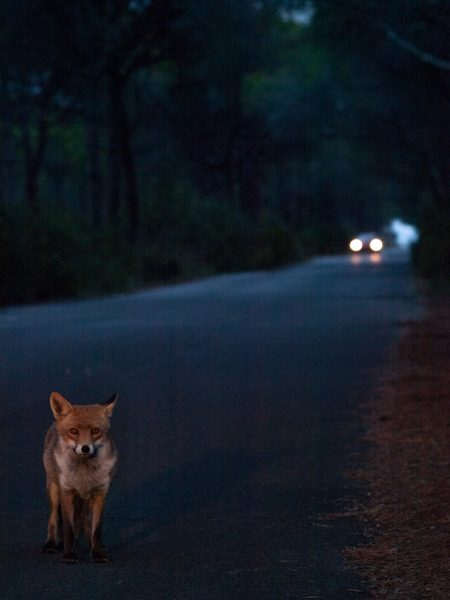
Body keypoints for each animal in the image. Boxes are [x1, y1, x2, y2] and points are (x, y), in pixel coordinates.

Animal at [41, 392, 118, 564]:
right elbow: (68, 529)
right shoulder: (67, 493)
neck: (84, 474)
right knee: (52, 519)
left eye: (95, 430)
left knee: (85, 521)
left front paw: (97, 553)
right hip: (54, 489)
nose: (85, 448)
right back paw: (50, 544)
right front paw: (69, 554)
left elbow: (97, 529)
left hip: (85, 500)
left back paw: (91, 545)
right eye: (73, 431)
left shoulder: (100, 494)